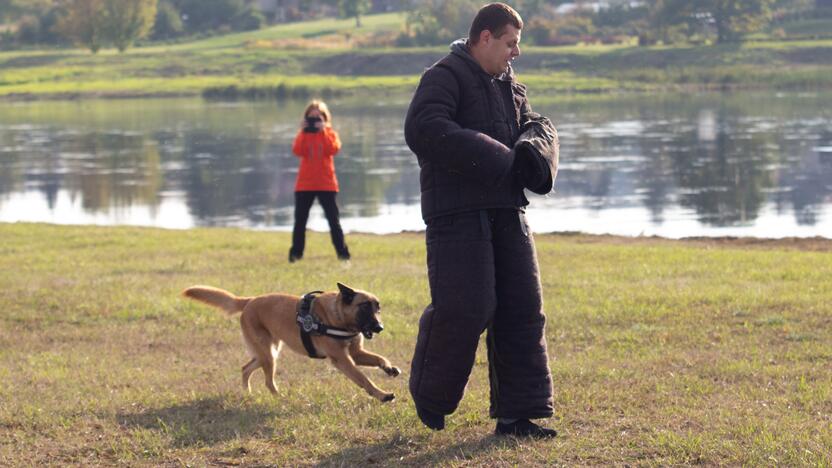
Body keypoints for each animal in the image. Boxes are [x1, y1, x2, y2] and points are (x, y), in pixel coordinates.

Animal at [183, 282, 404, 402]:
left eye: (378, 308)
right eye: (364, 306)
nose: (380, 327)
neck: (337, 316)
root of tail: (250, 301)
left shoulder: (356, 354)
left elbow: (379, 358)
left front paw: (389, 368)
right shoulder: (343, 360)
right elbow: (364, 379)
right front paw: (382, 395)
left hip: (267, 353)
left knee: (245, 368)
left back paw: (248, 393)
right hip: (268, 355)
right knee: (267, 381)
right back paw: (279, 398)